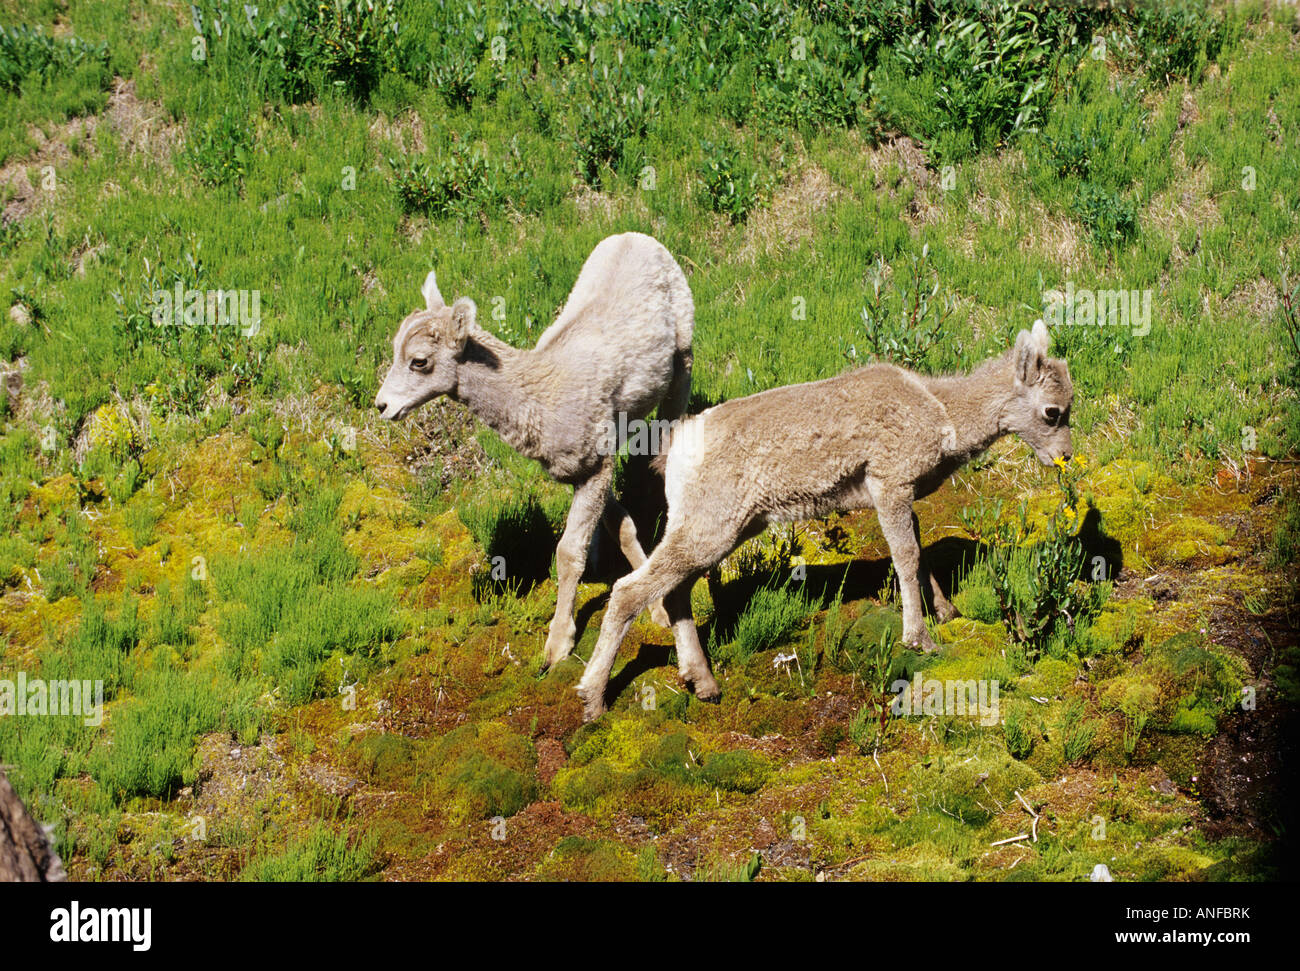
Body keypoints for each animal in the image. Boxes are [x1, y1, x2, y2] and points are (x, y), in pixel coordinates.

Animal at [377, 231, 696, 670]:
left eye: (419, 361)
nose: (382, 405)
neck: (540, 393)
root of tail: (635, 237)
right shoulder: (588, 468)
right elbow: (620, 528)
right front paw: (654, 606)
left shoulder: (594, 467)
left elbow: (567, 554)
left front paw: (557, 646)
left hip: (683, 361)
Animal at [574, 321, 1071, 722]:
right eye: (1053, 411)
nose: (1065, 457)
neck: (943, 414)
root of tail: (674, 453)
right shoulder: (890, 483)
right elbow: (907, 557)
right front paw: (919, 639)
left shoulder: (901, 494)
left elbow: (919, 551)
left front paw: (948, 612)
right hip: (710, 529)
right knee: (629, 591)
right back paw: (593, 701)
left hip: (722, 529)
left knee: (673, 591)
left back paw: (704, 685)